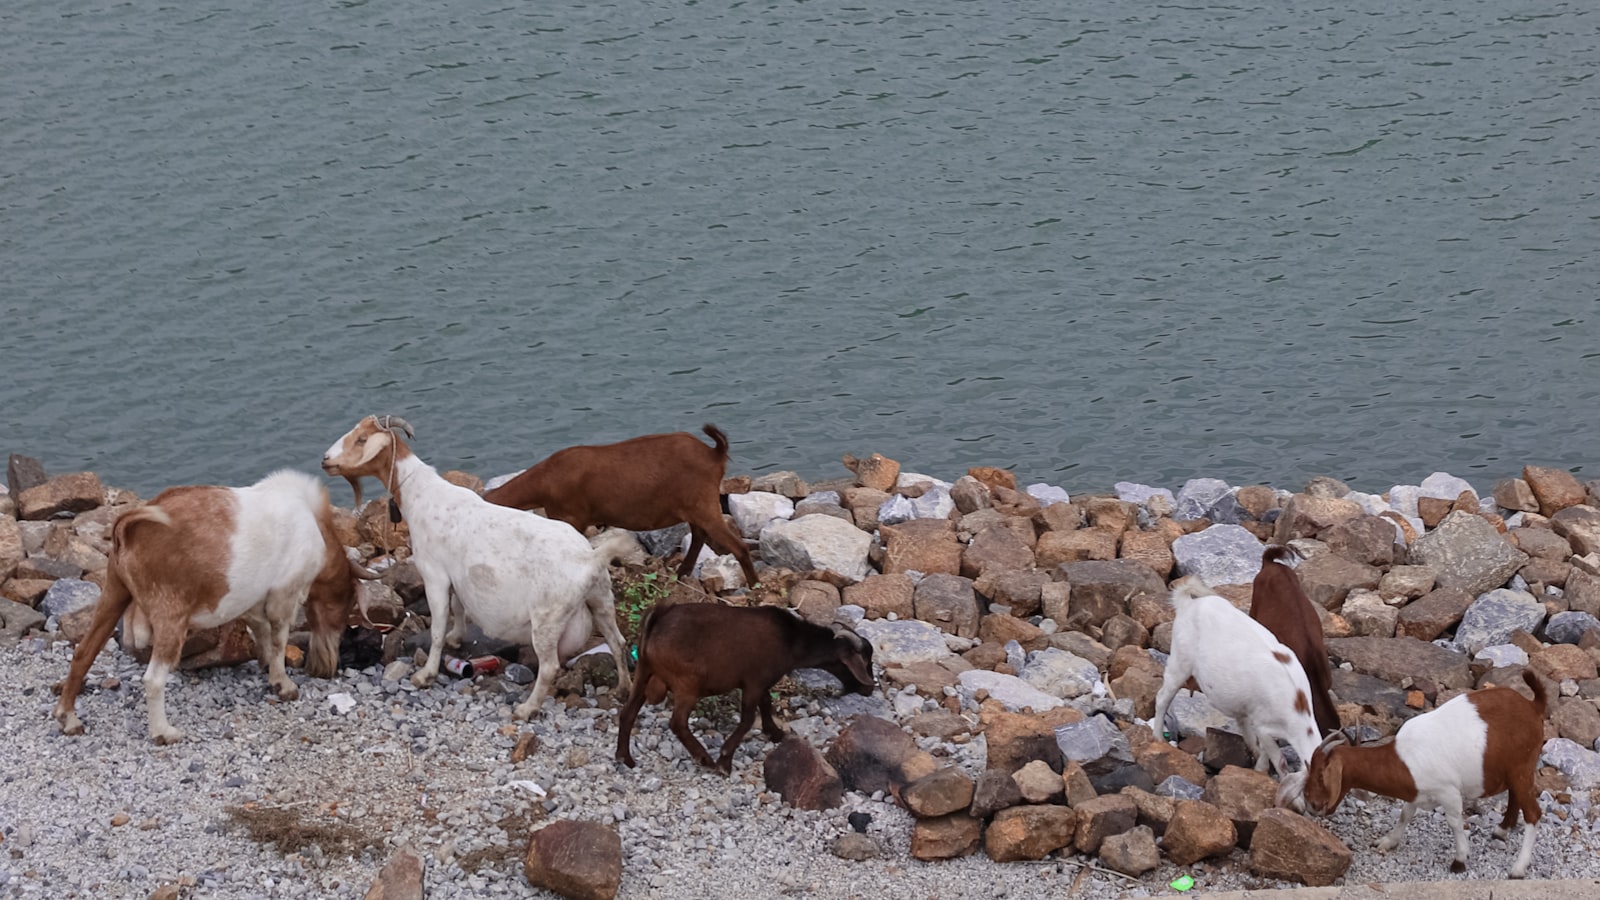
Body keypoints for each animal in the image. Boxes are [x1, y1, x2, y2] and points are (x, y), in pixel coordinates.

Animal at [318, 413, 630, 714]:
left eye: (361, 439)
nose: (325, 460)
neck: (422, 495)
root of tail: (589, 559)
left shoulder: (433, 574)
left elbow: (437, 626)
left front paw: (425, 675)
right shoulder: (456, 574)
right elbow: (458, 606)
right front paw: (457, 638)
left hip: (547, 617)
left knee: (550, 665)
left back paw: (526, 709)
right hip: (601, 598)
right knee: (618, 642)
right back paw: (623, 690)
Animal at [476, 422, 758, 586]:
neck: (547, 480)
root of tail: (714, 453)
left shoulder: (571, 516)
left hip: (702, 501)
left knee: (737, 545)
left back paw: (754, 585)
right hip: (695, 504)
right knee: (699, 534)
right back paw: (681, 573)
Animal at [614, 602, 876, 771]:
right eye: (865, 661)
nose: (869, 689)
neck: (792, 639)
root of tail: (658, 615)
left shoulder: (761, 682)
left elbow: (766, 703)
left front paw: (776, 733)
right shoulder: (753, 681)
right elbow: (749, 718)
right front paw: (725, 761)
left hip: (644, 671)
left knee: (628, 713)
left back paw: (624, 757)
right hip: (688, 683)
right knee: (677, 723)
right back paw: (704, 759)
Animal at [1286, 669, 1548, 871]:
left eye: (1321, 773)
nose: (1311, 803)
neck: (1403, 758)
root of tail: (1533, 705)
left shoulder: (1448, 792)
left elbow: (1454, 822)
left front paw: (1460, 860)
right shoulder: (1417, 791)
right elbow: (1405, 814)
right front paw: (1387, 842)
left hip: (1522, 767)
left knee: (1533, 813)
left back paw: (1518, 868)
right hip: (1516, 769)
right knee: (1515, 796)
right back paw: (1502, 831)